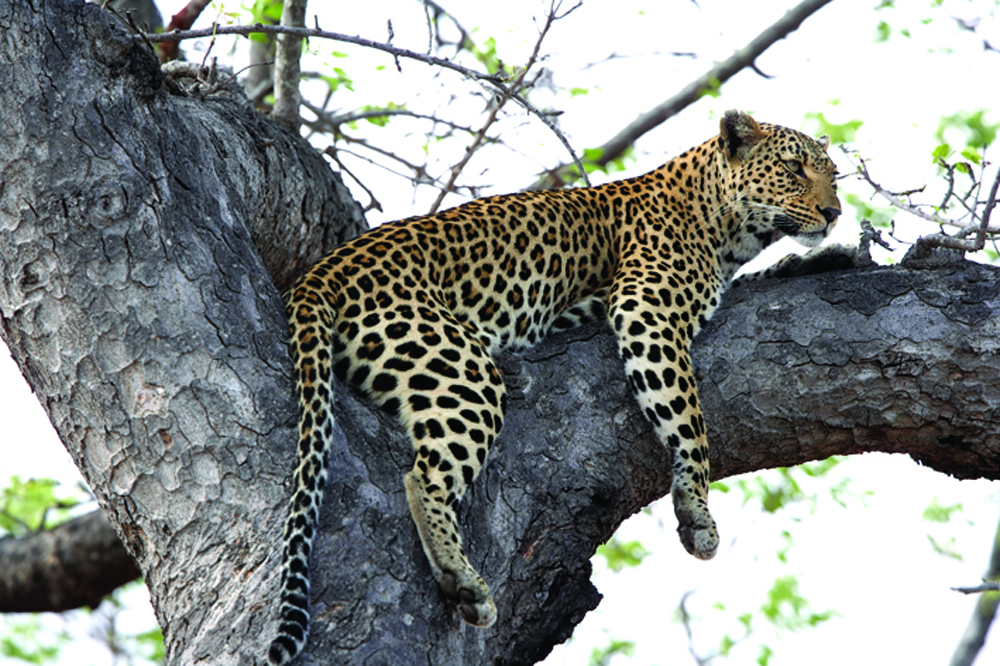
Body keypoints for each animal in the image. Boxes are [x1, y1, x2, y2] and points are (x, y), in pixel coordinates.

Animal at [267, 109, 841, 665]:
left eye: (833, 176)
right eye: (794, 168)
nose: (835, 213)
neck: (723, 226)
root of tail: (323, 270)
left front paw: (824, 259)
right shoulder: (646, 308)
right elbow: (689, 418)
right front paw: (697, 511)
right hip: (461, 369)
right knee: (422, 477)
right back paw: (463, 581)